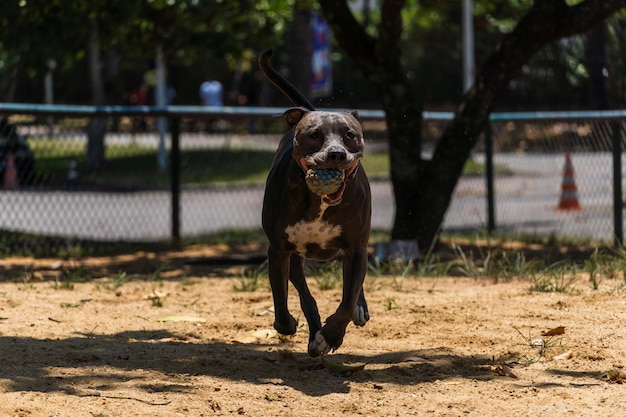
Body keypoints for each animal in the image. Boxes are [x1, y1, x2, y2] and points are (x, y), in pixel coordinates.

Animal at [258, 48, 370, 354]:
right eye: (314, 135)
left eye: (350, 134)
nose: (336, 154)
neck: (319, 202)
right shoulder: (279, 250)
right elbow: (281, 300)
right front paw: (290, 326)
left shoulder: (356, 247)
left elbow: (346, 303)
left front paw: (331, 335)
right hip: (295, 259)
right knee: (305, 294)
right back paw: (312, 332)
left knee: (351, 291)